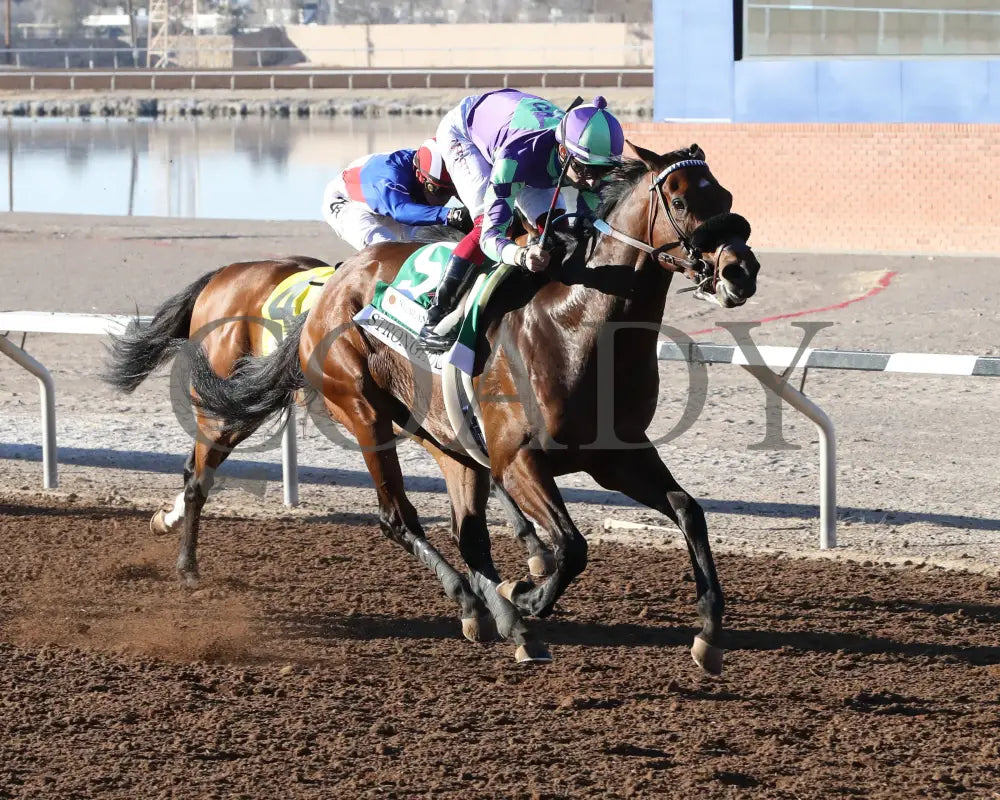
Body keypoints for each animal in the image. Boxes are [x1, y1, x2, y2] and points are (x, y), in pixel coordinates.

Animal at [106, 260, 560, 592]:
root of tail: (224, 275)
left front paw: (532, 548)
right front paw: (533, 547)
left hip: (244, 403)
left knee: (194, 470)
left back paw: (168, 521)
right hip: (226, 401)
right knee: (199, 479)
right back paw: (187, 567)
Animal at [186, 142, 756, 668]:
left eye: (726, 196)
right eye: (679, 200)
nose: (740, 272)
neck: (576, 325)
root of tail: (330, 287)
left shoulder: (616, 454)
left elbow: (688, 511)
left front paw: (708, 633)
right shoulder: (517, 458)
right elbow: (571, 546)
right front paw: (529, 595)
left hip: (445, 437)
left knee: (469, 533)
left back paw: (499, 618)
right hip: (364, 411)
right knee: (396, 516)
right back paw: (486, 605)